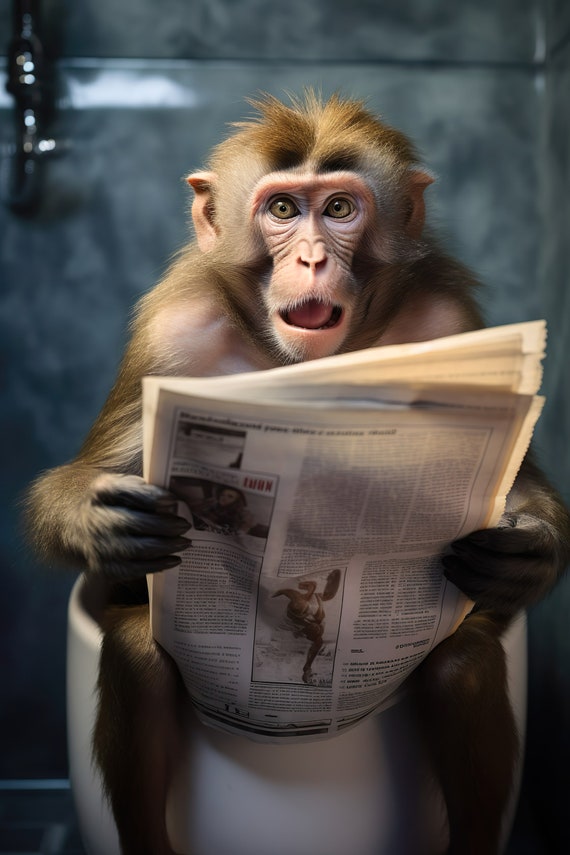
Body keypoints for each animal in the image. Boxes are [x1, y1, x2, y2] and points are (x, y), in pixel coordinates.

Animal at [25, 92, 570, 855]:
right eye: (282, 209)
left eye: (339, 208)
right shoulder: (171, 332)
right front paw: (103, 521)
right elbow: (91, 476)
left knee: (461, 658)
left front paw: (523, 551)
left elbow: (516, 486)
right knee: (138, 652)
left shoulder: (449, 321)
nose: (311, 258)